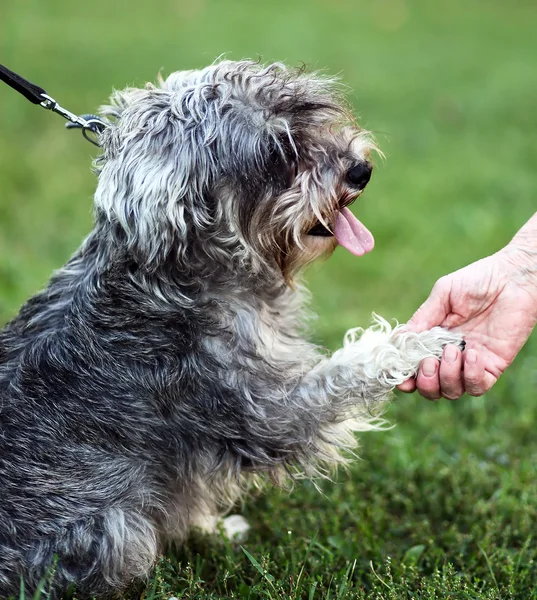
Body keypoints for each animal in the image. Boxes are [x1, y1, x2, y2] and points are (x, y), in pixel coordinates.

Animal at [0, 59, 460, 596]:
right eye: (277, 152)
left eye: (305, 113)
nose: (359, 170)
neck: (187, 275)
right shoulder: (264, 410)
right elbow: (343, 373)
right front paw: (415, 342)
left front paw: (213, 530)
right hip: (115, 527)